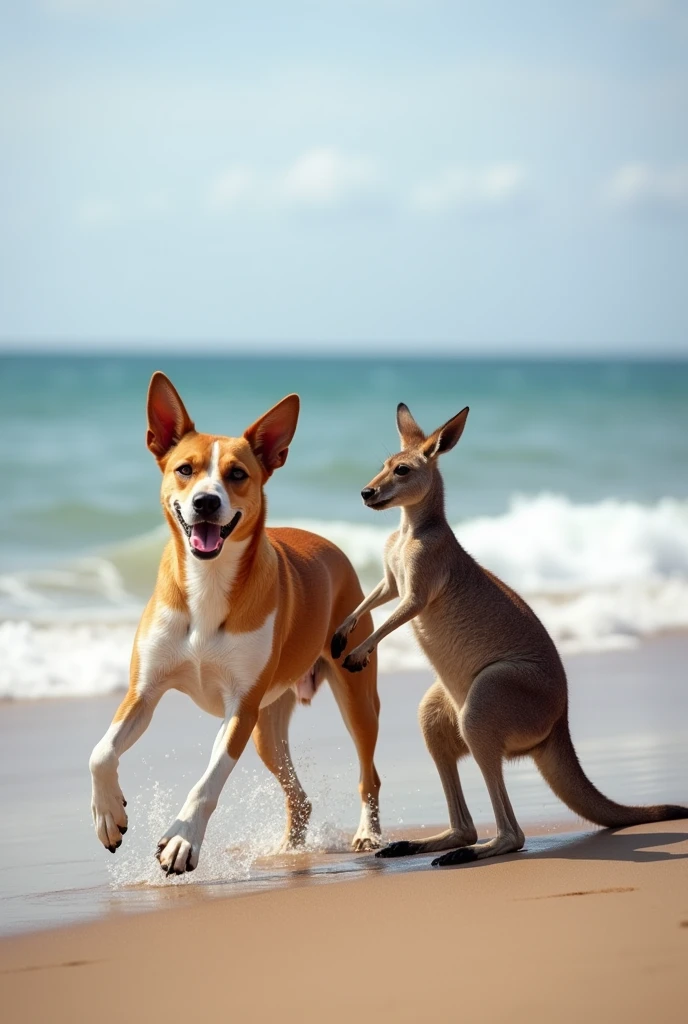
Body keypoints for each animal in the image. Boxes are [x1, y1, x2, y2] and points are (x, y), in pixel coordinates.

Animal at [87, 372, 380, 876]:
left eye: (237, 474)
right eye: (185, 469)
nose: (206, 502)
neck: (208, 583)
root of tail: (333, 547)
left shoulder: (240, 708)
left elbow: (208, 781)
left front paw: (182, 840)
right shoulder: (143, 692)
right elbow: (100, 752)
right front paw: (109, 815)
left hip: (354, 696)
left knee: (369, 775)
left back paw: (368, 834)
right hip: (268, 727)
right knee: (299, 797)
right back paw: (287, 852)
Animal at [329, 399, 683, 864]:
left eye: (402, 470)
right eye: (383, 466)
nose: (366, 493)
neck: (410, 529)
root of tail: (559, 726)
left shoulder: (421, 582)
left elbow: (400, 612)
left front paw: (358, 652)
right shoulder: (391, 576)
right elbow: (375, 598)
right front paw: (341, 634)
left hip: (492, 696)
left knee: (513, 833)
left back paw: (470, 852)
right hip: (438, 708)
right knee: (462, 816)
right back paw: (418, 845)